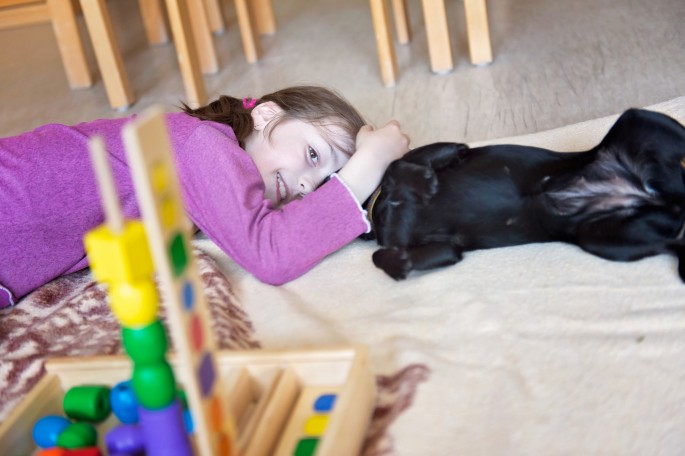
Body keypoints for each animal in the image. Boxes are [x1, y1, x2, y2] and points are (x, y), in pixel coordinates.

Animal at [366, 110, 684, 282]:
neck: (380, 208)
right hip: (603, 239)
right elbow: (379, 253)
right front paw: (398, 262)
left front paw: (421, 183)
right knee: (670, 241)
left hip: (638, 118)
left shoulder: (453, 149)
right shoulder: (449, 249)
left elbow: (394, 166)